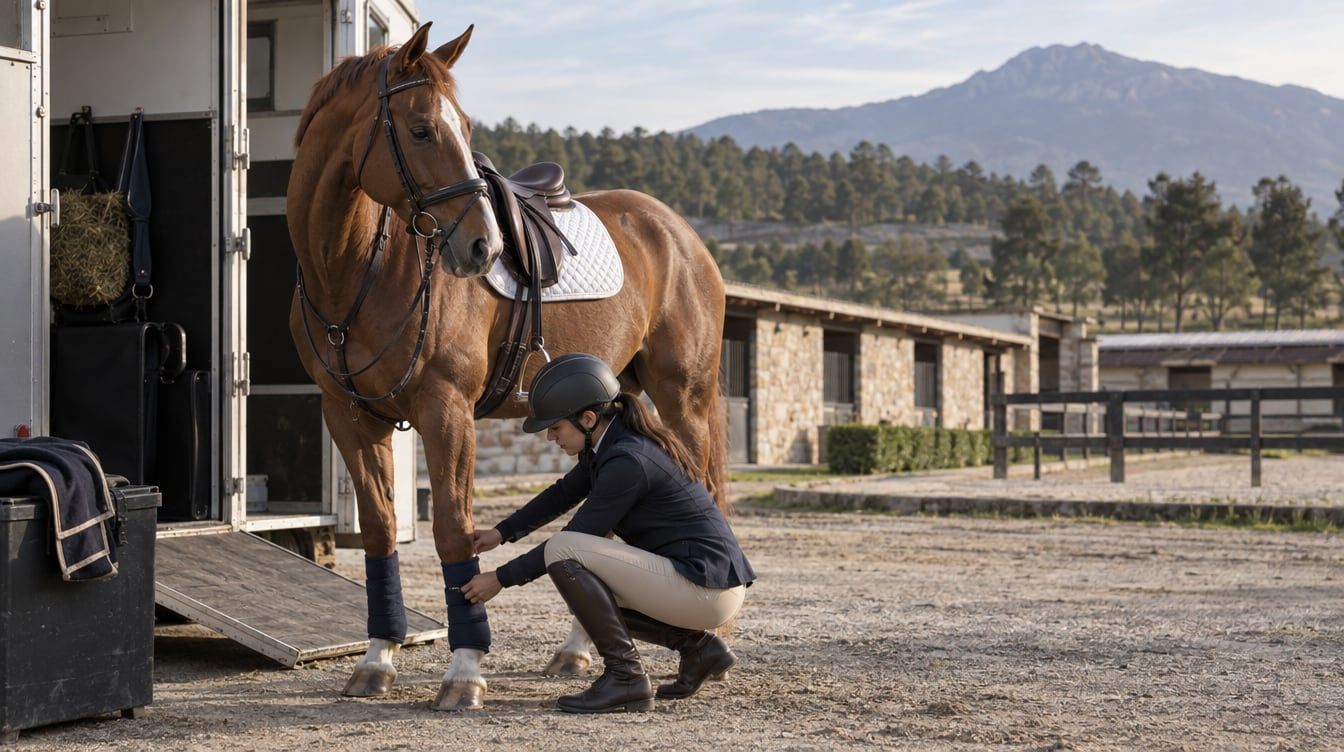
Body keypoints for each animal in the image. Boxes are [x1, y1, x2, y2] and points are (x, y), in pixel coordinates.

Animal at [287, 22, 729, 711]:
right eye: (421, 129)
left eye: (464, 127)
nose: (484, 247)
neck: (359, 273)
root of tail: (678, 231)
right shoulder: (351, 418)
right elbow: (382, 532)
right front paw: (377, 660)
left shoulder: (446, 411)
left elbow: (452, 531)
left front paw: (465, 670)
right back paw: (578, 651)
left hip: (685, 397)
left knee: (698, 493)